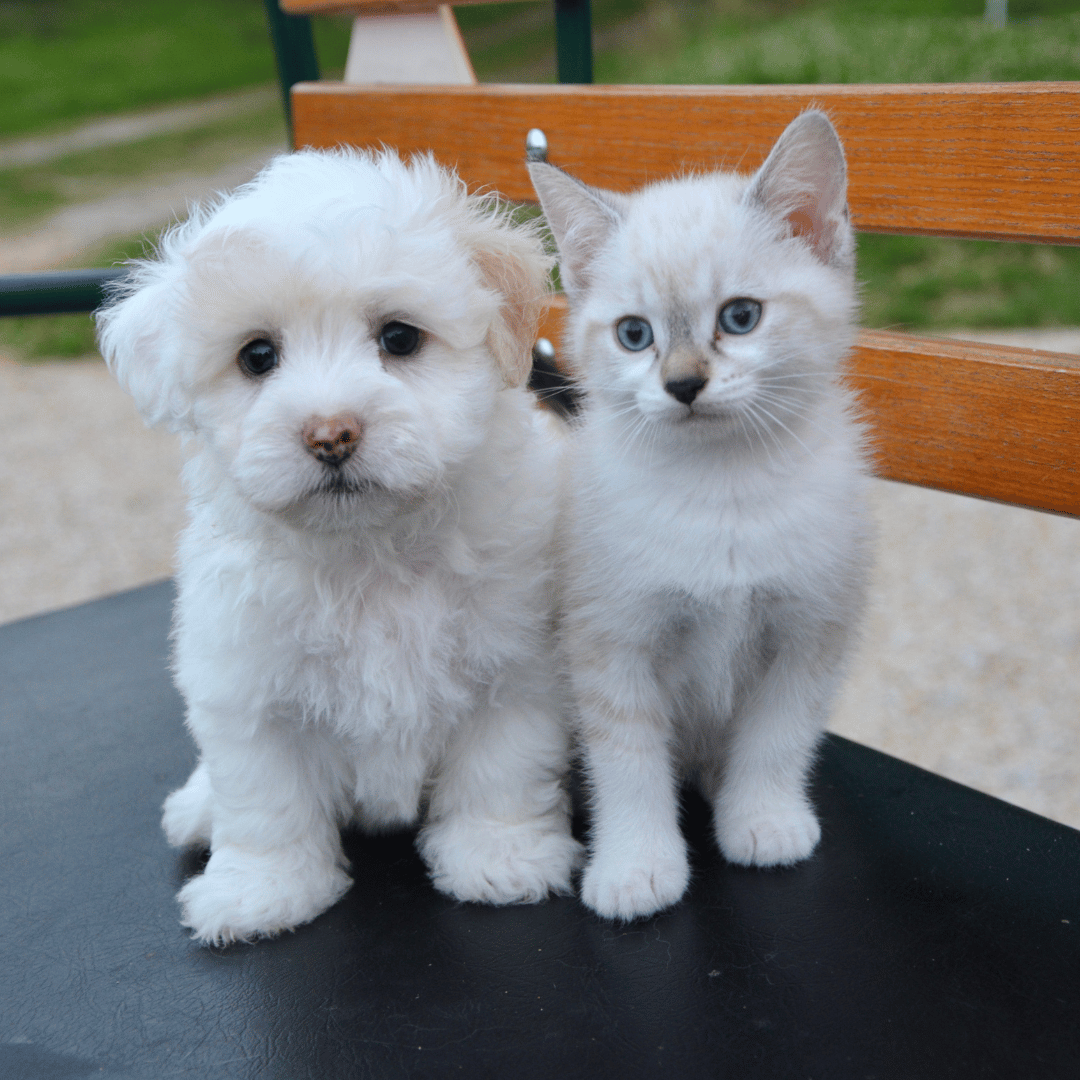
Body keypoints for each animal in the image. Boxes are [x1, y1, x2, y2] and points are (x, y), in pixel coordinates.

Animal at [98, 150, 587, 946]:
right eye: (257, 356)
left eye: (399, 339)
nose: (330, 434)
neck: (369, 552)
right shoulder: (248, 689)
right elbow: (264, 801)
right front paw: (262, 891)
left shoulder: (514, 668)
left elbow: (500, 770)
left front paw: (500, 856)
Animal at [527, 109, 872, 920]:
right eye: (634, 334)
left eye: (740, 318)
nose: (683, 384)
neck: (724, 493)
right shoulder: (610, 639)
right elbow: (627, 762)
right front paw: (635, 866)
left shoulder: (810, 628)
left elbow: (778, 736)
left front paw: (764, 817)